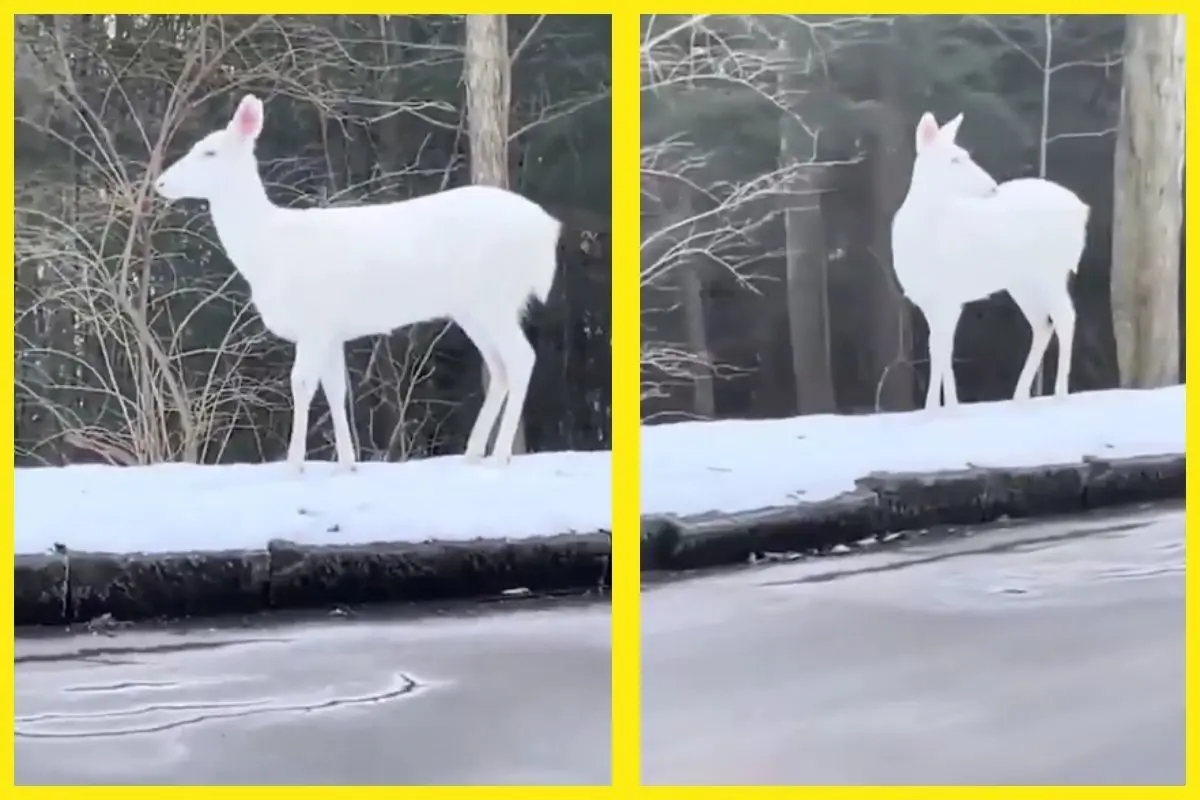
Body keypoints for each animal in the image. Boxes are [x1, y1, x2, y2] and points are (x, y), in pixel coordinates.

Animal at [152, 92, 559, 472]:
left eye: (209, 151)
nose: (160, 182)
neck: (268, 249)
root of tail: (548, 230)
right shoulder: (332, 329)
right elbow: (335, 389)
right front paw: (347, 463)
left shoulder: (314, 321)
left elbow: (301, 384)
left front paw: (294, 465)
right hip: (473, 307)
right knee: (500, 366)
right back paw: (473, 453)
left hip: (495, 296)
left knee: (521, 357)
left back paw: (500, 455)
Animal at [888, 110, 1094, 412]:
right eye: (955, 159)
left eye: (964, 154)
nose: (992, 187)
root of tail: (1083, 210)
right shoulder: (931, 301)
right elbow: (937, 347)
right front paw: (941, 407)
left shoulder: (949, 297)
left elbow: (943, 349)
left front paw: (942, 408)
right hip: (1023, 283)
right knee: (1042, 324)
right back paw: (1019, 396)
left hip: (1050, 270)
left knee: (1065, 317)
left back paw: (1060, 394)